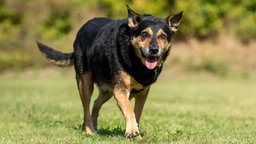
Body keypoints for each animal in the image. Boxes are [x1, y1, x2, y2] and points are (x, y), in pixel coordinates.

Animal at [36, 5, 182, 138]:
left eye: (163, 36)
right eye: (144, 34)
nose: (154, 50)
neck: (137, 62)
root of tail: (80, 32)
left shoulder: (142, 93)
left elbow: (137, 114)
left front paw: (137, 134)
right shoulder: (120, 89)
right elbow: (129, 110)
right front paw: (132, 131)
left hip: (108, 90)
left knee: (96, 103)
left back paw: (94, 125)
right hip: (85, 84)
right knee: (86, 108)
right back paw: (90, 130)